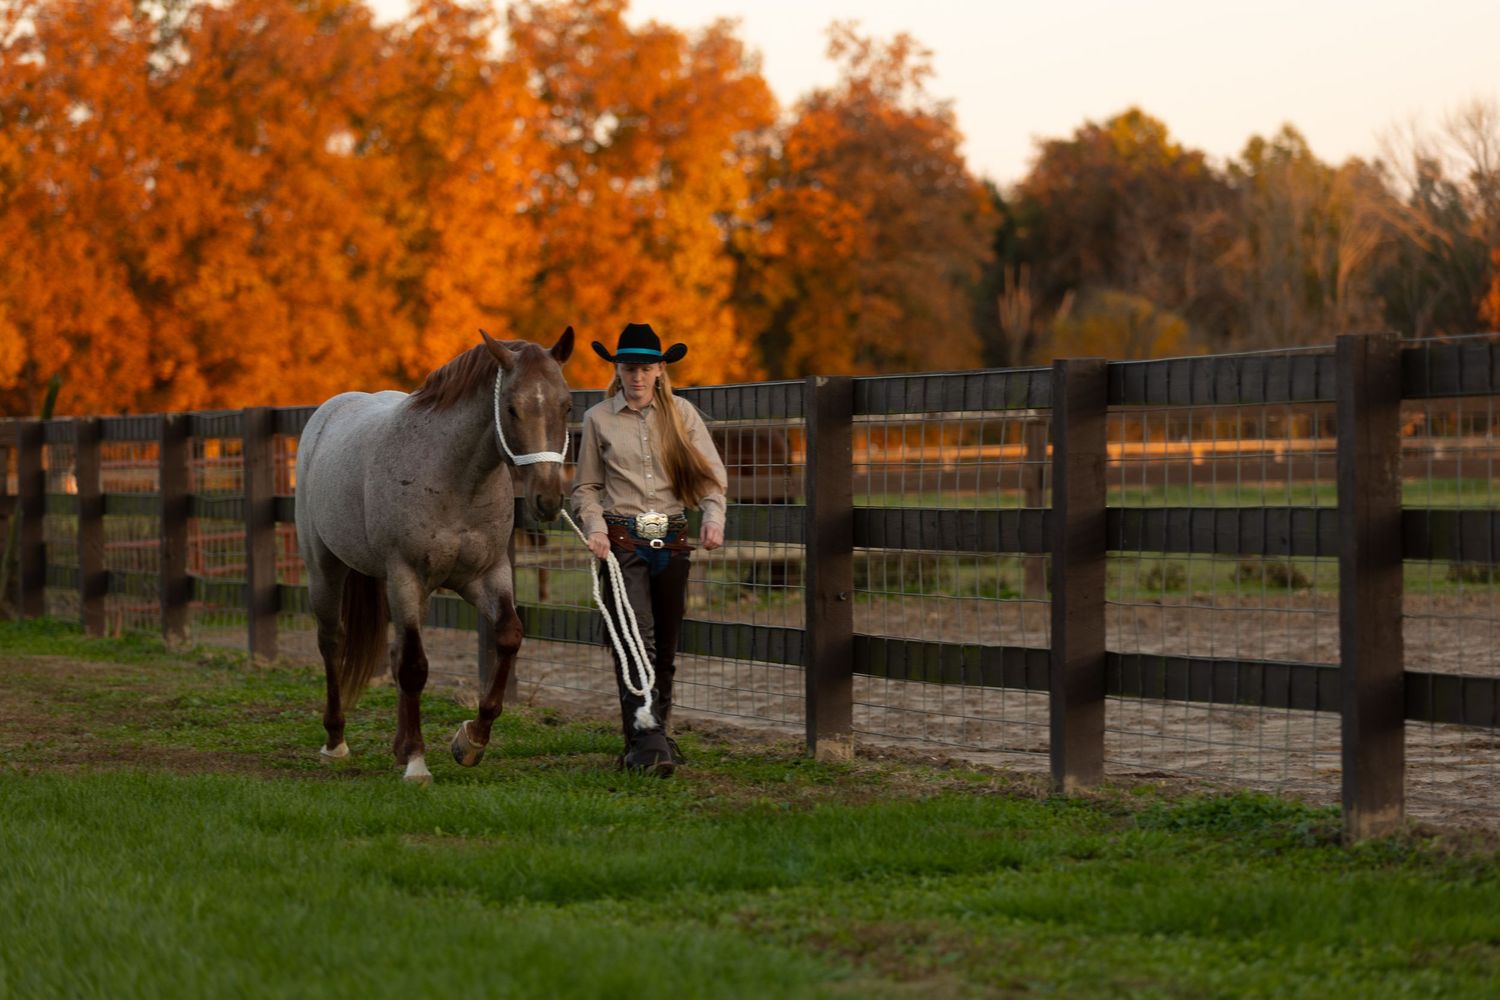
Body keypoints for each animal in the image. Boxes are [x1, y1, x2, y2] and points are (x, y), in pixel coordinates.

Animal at [294, 327, 574, 783]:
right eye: (511, 408)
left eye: (566, 405)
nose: (548, 500)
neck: (454, 480)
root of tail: (327, 414)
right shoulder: (406, 576)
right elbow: (414, 667)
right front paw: (416, 761)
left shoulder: (486, 575)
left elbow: (508, 636)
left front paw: (471, 741)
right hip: (326, 569)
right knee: (332, 643)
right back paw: (335, 741)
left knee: (391, 653)